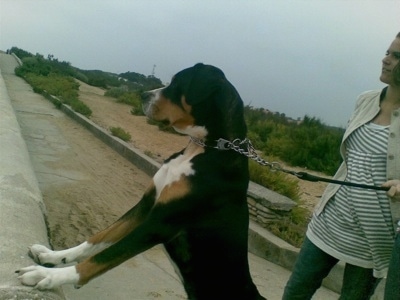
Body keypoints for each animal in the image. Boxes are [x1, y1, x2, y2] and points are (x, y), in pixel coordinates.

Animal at [16, 63, 266, 300]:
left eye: (177, 82)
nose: (143, 95)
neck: (202, 149)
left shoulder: (159, 222)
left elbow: (105, 256)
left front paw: (48, 275)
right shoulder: (145, 206)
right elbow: (98, 239)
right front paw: (53, 256)